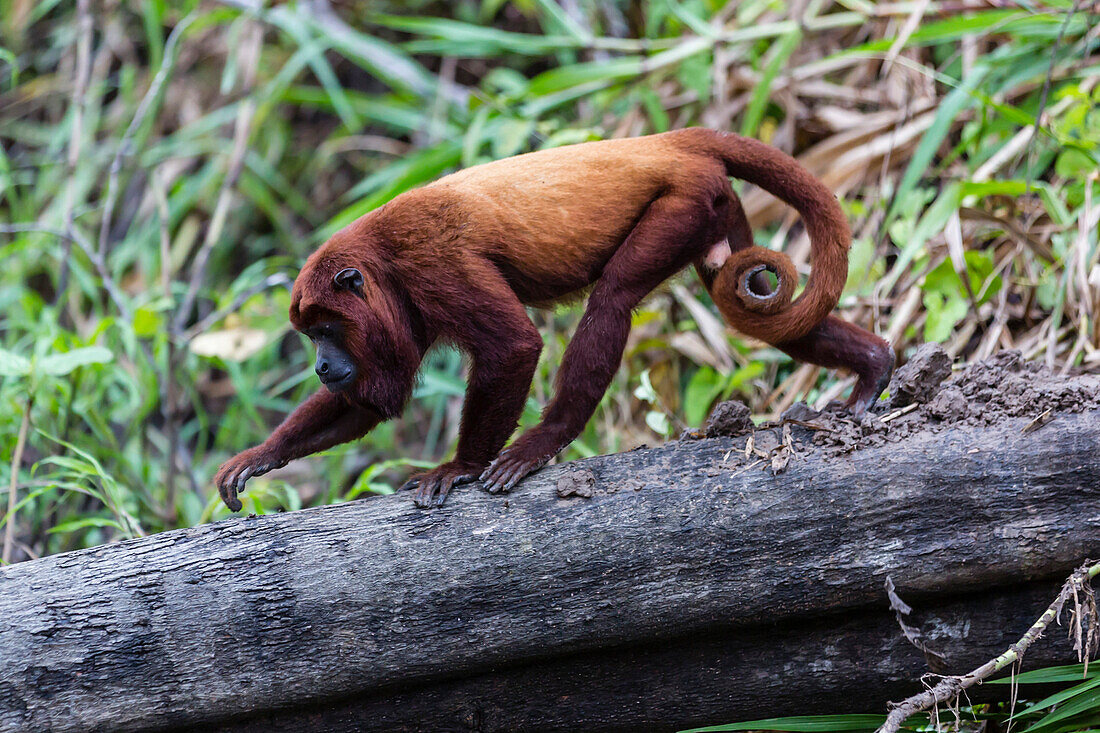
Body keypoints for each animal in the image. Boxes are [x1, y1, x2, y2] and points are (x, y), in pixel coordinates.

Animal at [212, 127, 893, 508]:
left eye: (326, 330)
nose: (322, 366)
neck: (381, 260)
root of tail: (669, 141)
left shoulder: (432, 266)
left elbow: (514, 346)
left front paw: (461, 467)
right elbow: (369, 403)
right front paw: (262, 454)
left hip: (683, 200)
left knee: (613, 298)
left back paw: (547, 438)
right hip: (716, 207)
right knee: (753, 316)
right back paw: (876, 369)